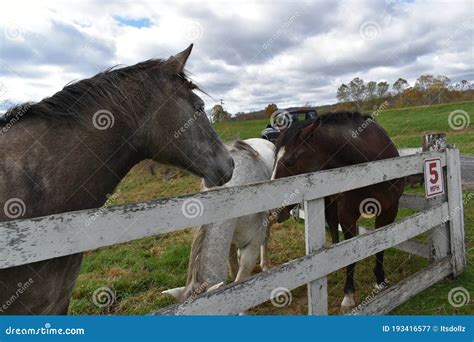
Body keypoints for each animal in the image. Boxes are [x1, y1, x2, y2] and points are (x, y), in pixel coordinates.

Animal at [272, 111, 406, 310]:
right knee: (333, 228)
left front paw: (380, 281)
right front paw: (349, 294)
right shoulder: (348, 215)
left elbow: (380, 246)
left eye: (290, 161)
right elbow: (350, 251)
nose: (272, 212)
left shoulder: (389, 211)